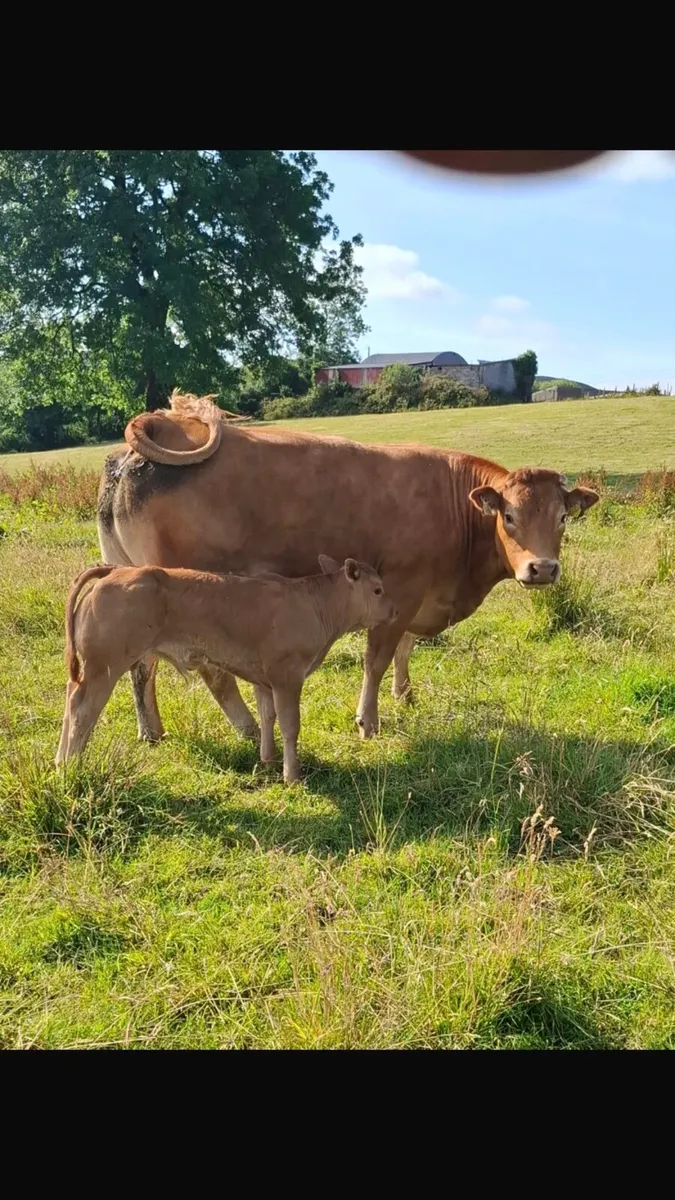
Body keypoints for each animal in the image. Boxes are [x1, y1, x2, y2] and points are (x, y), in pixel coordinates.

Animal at [56, 556, 397, 782]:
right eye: (378, 590)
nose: (394, 613)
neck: (313, 603)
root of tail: (116, 569)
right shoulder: (286, 675)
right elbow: (290, 724)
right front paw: (292, 775)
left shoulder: (264, 679)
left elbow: (268, 715)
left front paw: (268, 760)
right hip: (104, 666)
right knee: (83, 711)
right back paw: (72, 765)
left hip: (90, 668)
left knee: (71, 701)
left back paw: (61, 761)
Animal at [97, 391, 599, 746]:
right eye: (509, 516)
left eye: (562, 517)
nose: (542, 569)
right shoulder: (401, 587)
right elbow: (378, 657)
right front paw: (368, 720)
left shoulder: (416, 596)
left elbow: (405, 648)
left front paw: (404, 694)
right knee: (209, 670)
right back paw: (245, 726)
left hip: (136, 584)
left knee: (140, 666)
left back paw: (152, 730)